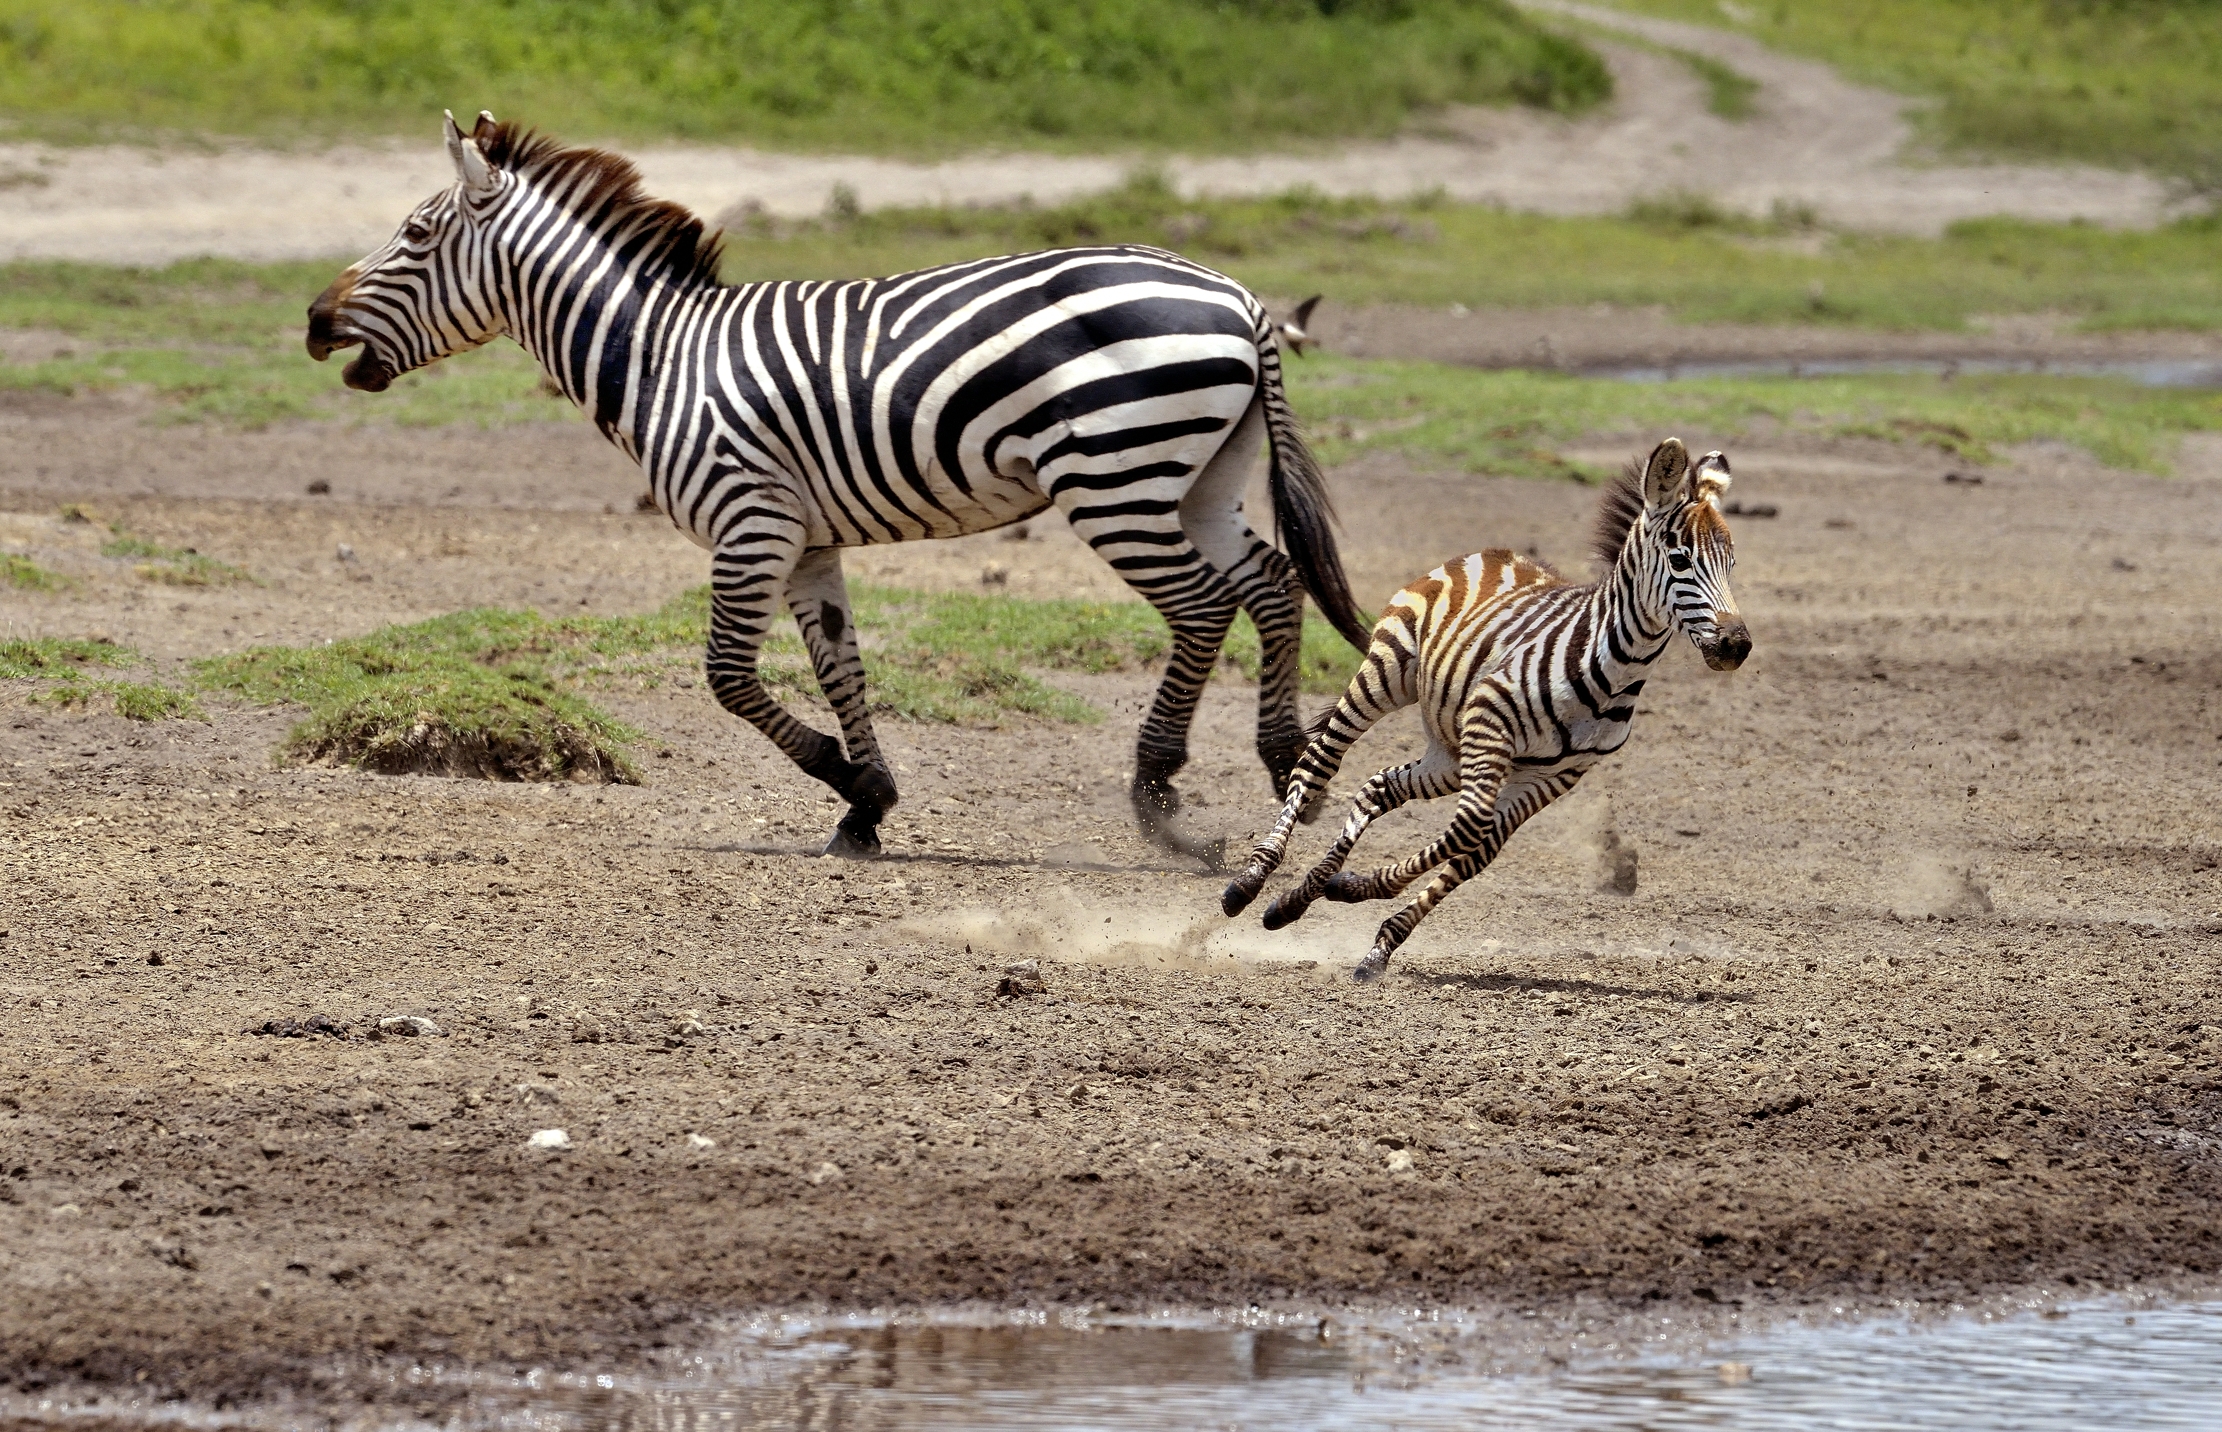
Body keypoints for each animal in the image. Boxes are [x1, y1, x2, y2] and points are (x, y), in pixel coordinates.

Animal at [305, 112, 1371, 863]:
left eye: (413, 233)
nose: (314, 321)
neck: (662, 358)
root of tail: (1240, 297)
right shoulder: (808, 538)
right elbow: (840, 666)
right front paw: (869, 804)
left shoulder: (750, 520)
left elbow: (728, 677)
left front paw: (847, 781)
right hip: (1199, 480)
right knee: (1272, 584)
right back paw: (1289, 763)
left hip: (1115, 478)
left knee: (1203, 608)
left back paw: (1160, 802)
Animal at [1220, 437, 1752, 982]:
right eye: (1680, 559)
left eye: (1731, 564)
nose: (1735, 645)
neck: (1612, 669)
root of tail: (1491, 553)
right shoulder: (1489, 720)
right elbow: (1469, 828)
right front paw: (1356, 892)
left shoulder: (1556, 774)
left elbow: (1478, 850)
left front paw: (1366, 915)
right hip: (1389, 674)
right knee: (1318, 764)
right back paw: (1250, 881)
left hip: (1451, 753)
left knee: (1379, 786)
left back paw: (1295, 900)